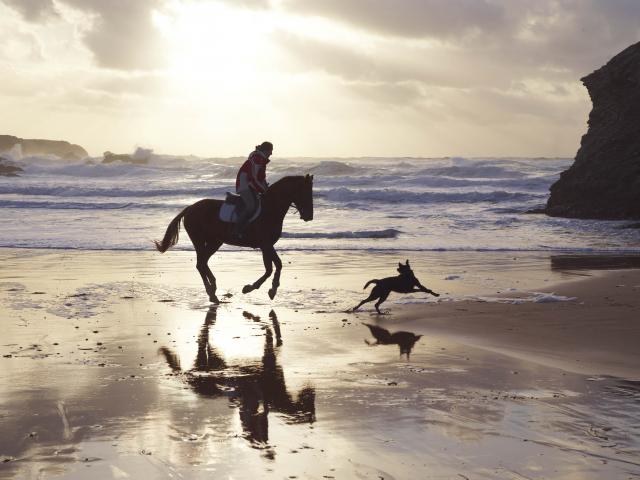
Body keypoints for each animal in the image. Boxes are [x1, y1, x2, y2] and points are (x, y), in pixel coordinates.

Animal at [156, 176, 316, 302]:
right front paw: (269, 289)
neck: (270, 209)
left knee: (203, 262)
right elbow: (277, 265)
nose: (309, 216)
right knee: (200, 264)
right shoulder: (266, 244)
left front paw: (255, 288)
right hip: (199, 240)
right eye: (305, 193)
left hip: (215, 242)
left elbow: (270, 268)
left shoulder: (266, 245)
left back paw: (213, 287)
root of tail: (189, 208)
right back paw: (211, 292)